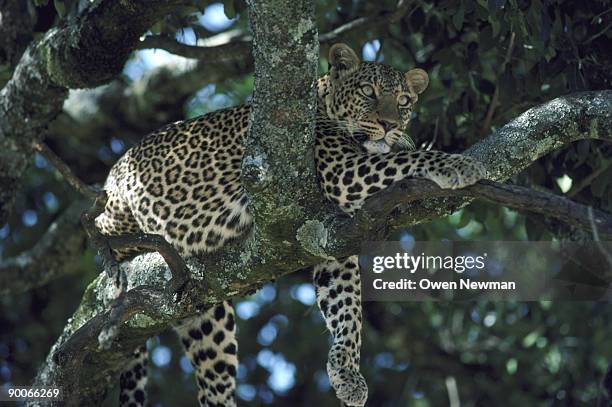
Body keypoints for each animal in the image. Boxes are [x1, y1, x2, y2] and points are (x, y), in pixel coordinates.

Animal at [95, 43, 486, 406]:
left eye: (403, 101)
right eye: (368, 91)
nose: (390, 125)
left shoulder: (329, 237)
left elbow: (348, 306)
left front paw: (346, 372)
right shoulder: (345, 172)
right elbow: (411, 159)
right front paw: (459, 164)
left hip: (207, 320)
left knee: (212, 385)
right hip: (115, 217)